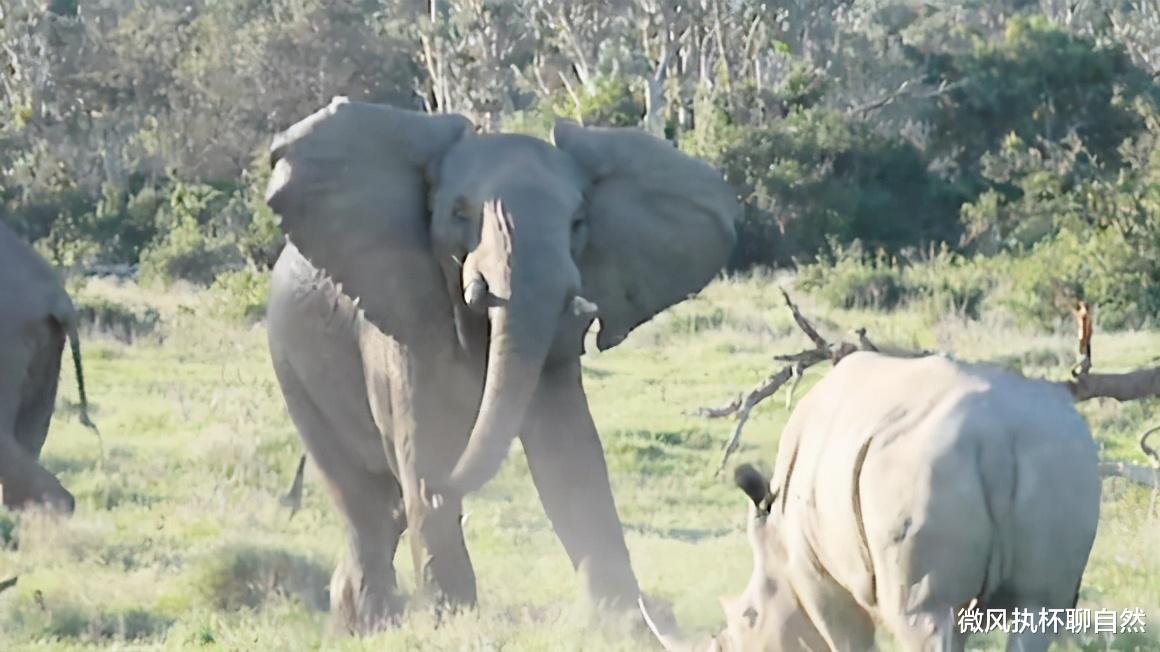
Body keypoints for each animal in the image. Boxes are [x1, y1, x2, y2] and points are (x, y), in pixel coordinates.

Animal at [263, 97, 739, 632]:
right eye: (458, 212)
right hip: (290, 362)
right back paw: (370, 621)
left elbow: (567, 450)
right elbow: (424, 445)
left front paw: (627, 622)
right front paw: (450, 623)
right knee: (362, 501)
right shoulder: (404, 311)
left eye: (578, 222)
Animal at [643, 351, 1101, 652]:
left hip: (922, 471)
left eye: (749, 619)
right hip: (1061, 455)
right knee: (1036, 611)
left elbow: (848, 640)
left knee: (923, 619)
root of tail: (994, 438)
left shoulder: (816, 574)